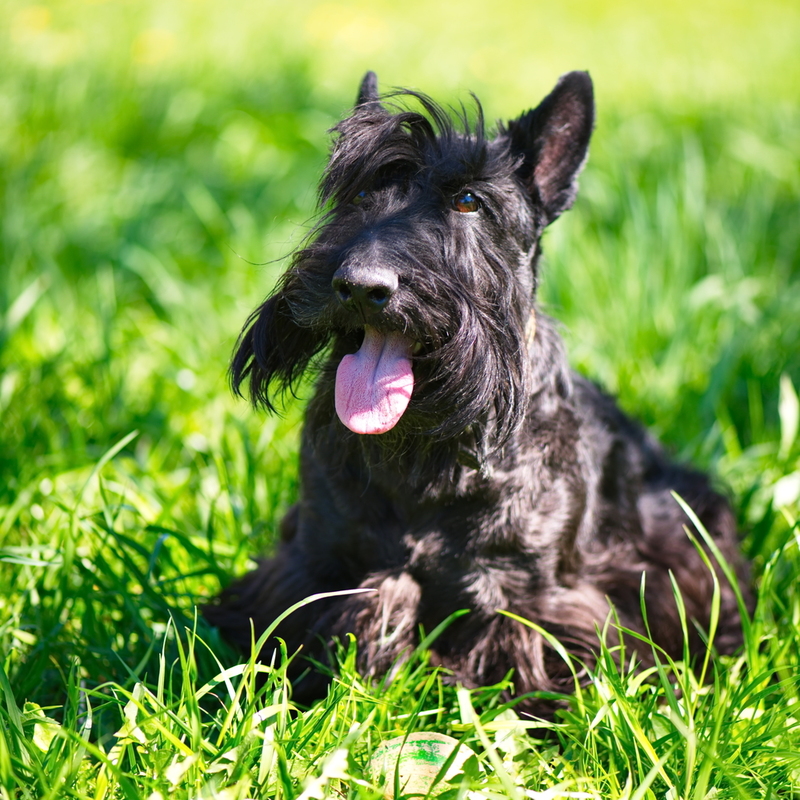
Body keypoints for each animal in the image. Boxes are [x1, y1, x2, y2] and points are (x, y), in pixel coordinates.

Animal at [205, 72, 744, 716]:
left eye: (468, 201)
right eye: (359, 193)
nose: (359, 285)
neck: (425, 454)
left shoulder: (528, 597)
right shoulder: (316, 563)